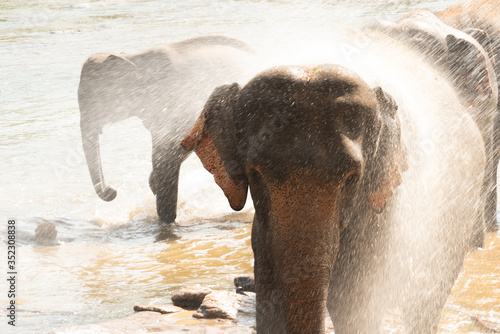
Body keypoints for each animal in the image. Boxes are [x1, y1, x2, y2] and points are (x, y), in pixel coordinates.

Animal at [79, 35, 258, 223]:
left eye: (96, 96)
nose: (112, 191)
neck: (133, 58)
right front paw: (155, 186)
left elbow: (168, 151)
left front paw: (165, 220)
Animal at [183, 34, 488, 332]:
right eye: (256, 174)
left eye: (351, 178)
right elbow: (269, 297)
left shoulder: (386, 209)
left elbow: (354, 304)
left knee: (425, 302)